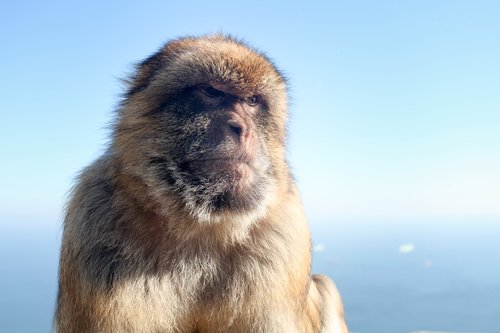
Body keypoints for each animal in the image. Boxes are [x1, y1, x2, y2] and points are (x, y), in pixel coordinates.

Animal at [53, 34, 344, 332]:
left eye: (252, 101)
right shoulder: (94, 218)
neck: (200, 224)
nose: (243, 129)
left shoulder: (285, 233)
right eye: (211, 92)